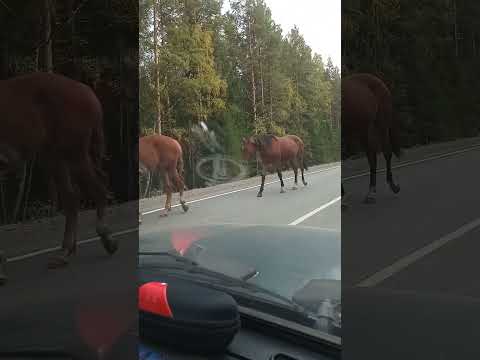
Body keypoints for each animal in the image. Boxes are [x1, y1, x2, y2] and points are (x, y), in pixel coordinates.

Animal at [342, 72, 402, 205]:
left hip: (381, 124)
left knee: (386, 152)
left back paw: (391, 186)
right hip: (363, 129)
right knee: (371, 155)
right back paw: (371, 192)